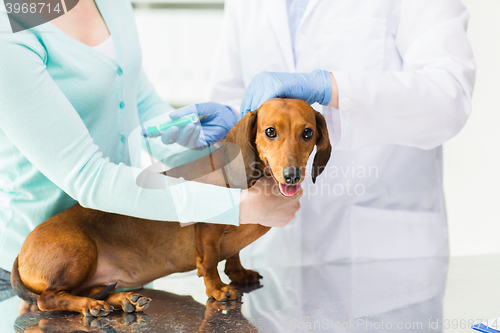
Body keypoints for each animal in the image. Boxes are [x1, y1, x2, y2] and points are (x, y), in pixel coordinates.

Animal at [10, 97, 332, 316]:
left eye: (307, 133)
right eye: (270, 131)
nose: (291, 175)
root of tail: (21, 254)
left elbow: (234, 254)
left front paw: (239, 273)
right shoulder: (207, 232)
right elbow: (210, 261)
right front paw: (218, 289)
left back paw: (125, 299)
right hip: (78, 254)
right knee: (48, 298)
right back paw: (89, 306)